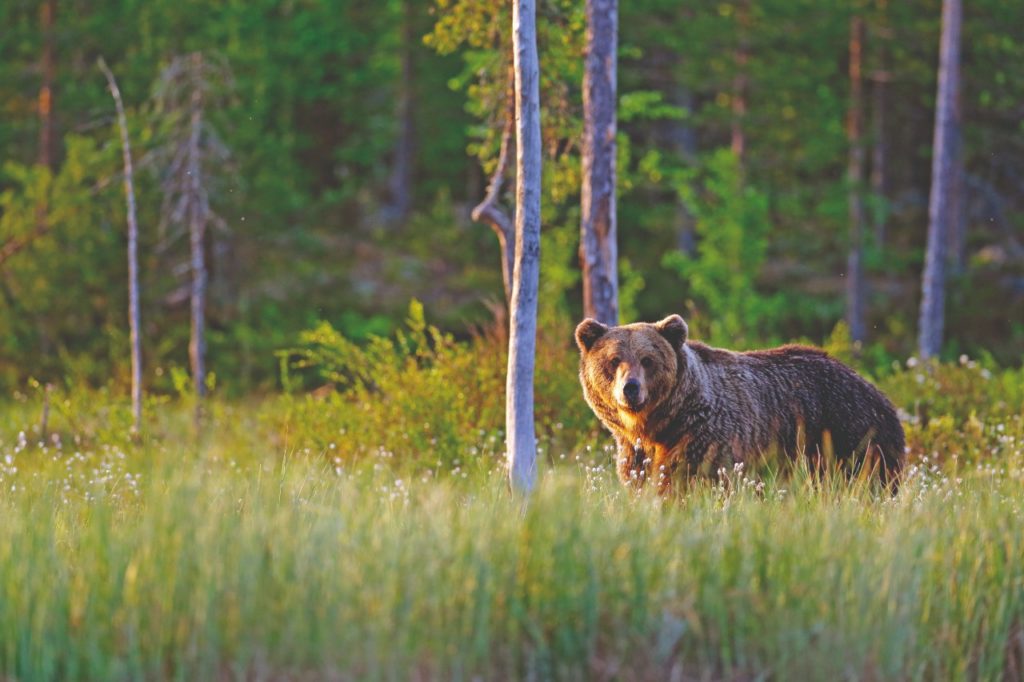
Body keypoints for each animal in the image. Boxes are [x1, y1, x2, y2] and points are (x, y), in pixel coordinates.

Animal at [577, 313, 905, 489]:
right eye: (614, 360)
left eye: (647, 360)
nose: (630, 388)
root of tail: (881, 395)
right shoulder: (635, 452)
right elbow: (640, 480)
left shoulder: (704, 439)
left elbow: (685, 481)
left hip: (851, 435)